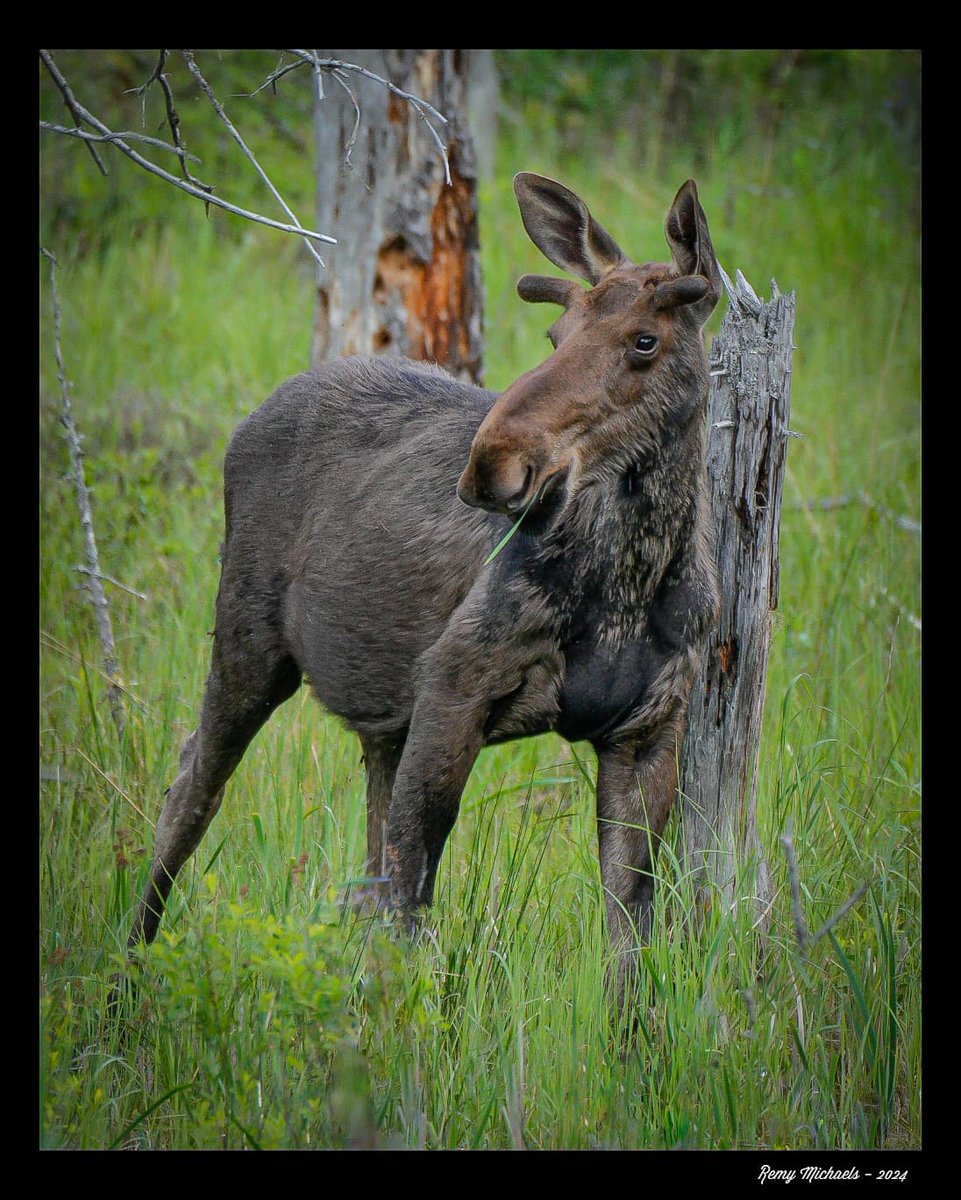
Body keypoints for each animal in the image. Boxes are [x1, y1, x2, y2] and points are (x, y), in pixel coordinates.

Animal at [127, 175, 719, 984]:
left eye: (645, 341)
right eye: (554, 336)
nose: (492, 463)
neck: (632, 579)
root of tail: (248, 421)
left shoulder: (649, 726)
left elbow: (629, 931)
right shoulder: (453, 683)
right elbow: (414, 897)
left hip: (378, 716)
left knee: (364, 858)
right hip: (248, 644)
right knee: (192, 787)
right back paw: (127, 969)